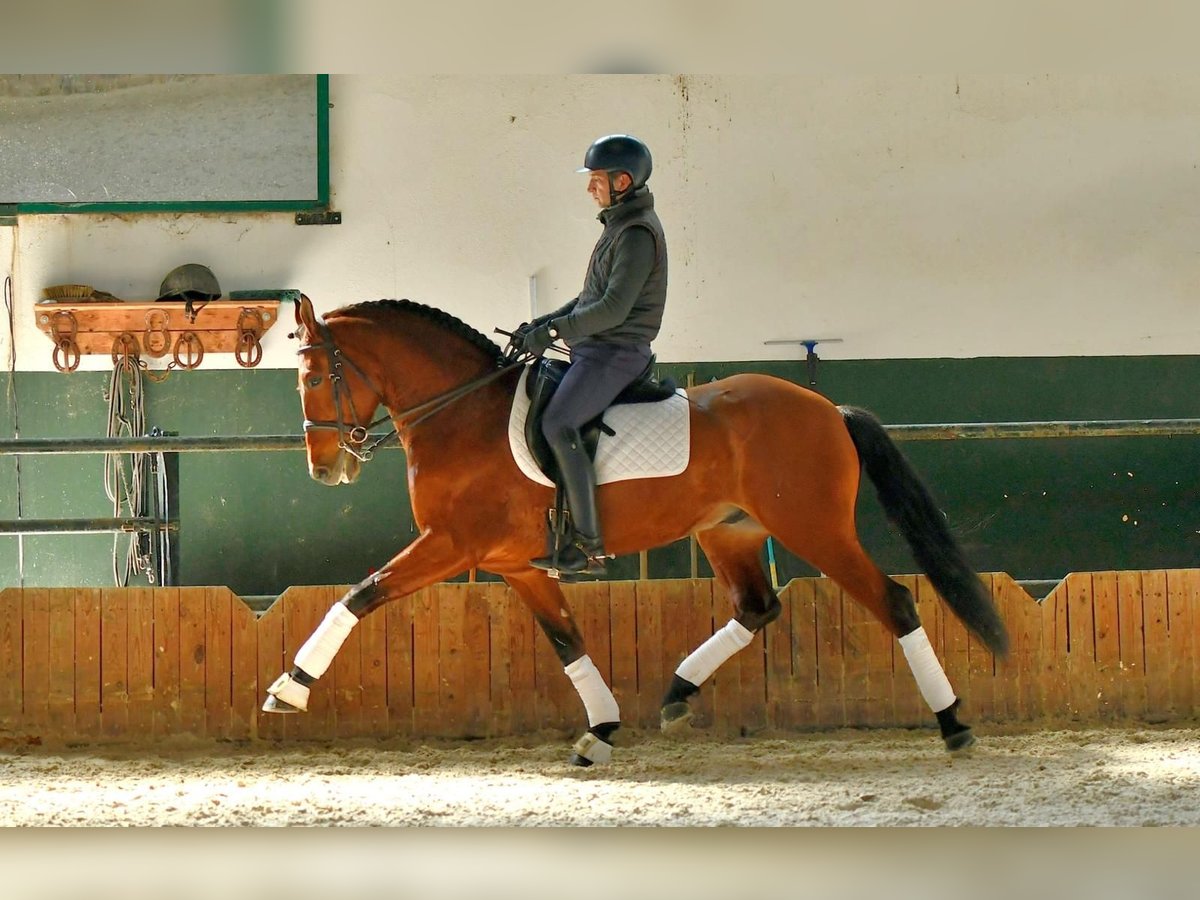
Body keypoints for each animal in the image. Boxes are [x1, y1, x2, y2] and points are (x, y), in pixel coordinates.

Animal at [265, 296, 1012, 768]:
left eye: (314, 375)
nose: (326, 468)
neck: (462, 414)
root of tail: (828, 408)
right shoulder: (516, 565)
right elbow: (568, 642)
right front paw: (599, 731)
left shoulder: (453, 545)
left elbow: (359, 595)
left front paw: (290, 687)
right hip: (730, 532)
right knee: (756, 608)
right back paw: (678, 692)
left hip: (813, 528)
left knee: (894, 600)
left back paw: (954, 725)